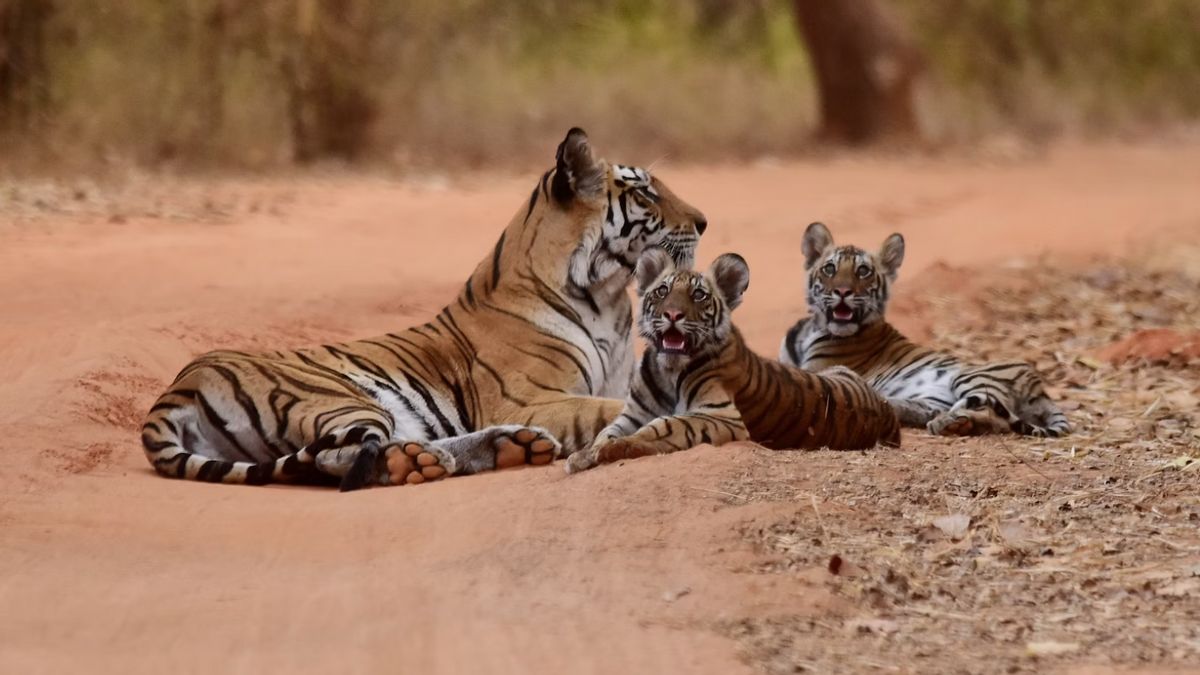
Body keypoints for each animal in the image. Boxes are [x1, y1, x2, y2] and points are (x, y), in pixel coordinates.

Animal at [141, 128, 708, 490]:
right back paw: (424, 462)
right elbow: (608, 410)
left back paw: (510, 448)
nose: (703, 222)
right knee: (335, 458)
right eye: (646, 193)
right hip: (339, 398)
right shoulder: (530, 398)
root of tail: (176, 388)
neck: (608, 296)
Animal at [565, 248, 901, 473]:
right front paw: (584, 455)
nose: (672, 314)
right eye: (662, 290)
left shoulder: (722, 415)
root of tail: (886, 411)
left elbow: (666, 424)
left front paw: (618, 448)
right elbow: (607, 431)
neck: (668, 370)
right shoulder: (633, 413)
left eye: (698, 295)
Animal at [779, 221, 1070, 437]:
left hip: (972, 377)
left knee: (992, 415)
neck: (812, 328)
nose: (842, 291)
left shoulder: (817, 370)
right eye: (830, 269)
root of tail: (1039, 387)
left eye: (863, 271)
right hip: (934, 397)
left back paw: (947, 423)